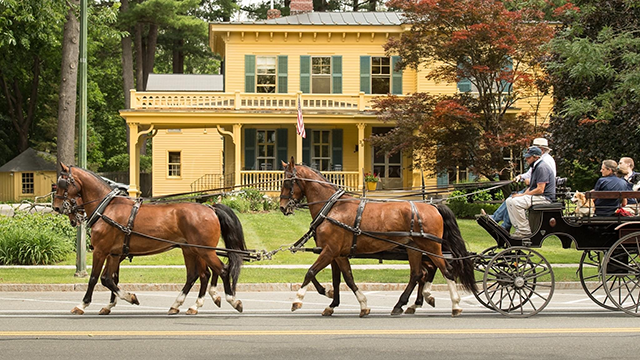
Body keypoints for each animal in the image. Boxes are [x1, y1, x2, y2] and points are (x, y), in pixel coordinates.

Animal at [52, 163, 246, 316]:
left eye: (62, 183)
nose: (56, 207)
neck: (107, 208)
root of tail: (210, 207)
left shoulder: (101, 251)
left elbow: (95, 278)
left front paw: (82, 304)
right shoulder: (114, 254)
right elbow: (109, 278)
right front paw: (121, 300)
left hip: (204, 250)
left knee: (221, 270)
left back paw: (232, 300)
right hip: (192, 249)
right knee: (197, 274)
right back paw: (184, 305)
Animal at [278, 159, 478, 316]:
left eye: (287, 181)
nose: (282, 207)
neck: (332, 207)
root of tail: (433, 206)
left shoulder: (330, 250)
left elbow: (311, 272)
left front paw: (298, 300)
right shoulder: (338, 254)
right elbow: (345, 278)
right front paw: (342, 303)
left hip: (431, 247)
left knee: (446, 271)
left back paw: (454, 304)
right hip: (414, 249)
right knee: (417, 274)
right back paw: (403, 304)